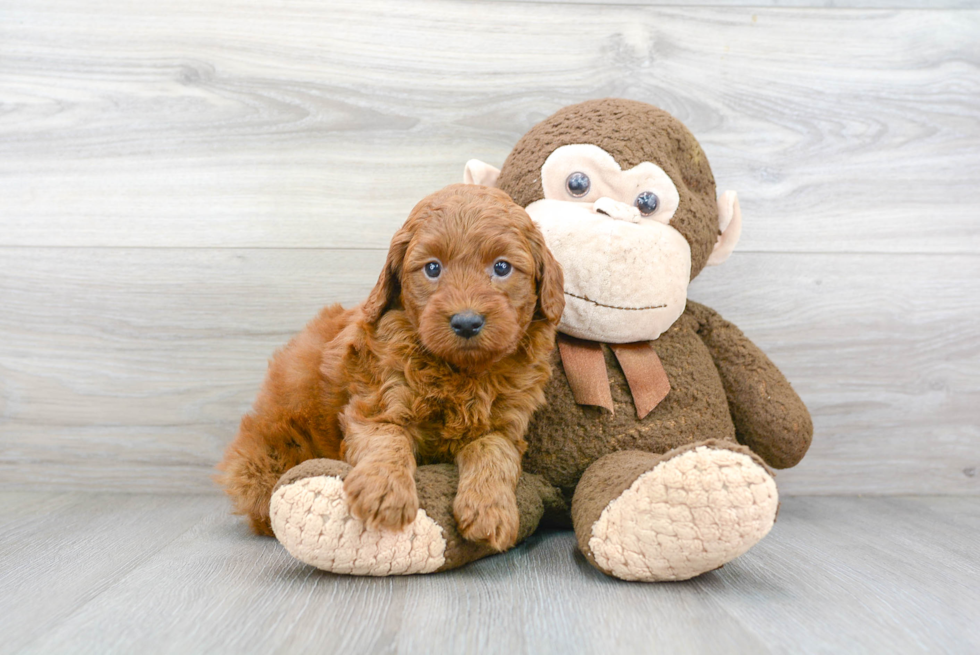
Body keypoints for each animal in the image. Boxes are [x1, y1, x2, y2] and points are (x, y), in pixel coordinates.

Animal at [217, 184, 564, 552]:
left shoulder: (504, 424)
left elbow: (494, 453)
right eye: (432, 268)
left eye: (501, 267)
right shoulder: (377, 403)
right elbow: (388, 438)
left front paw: (491, 509)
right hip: (265, 458)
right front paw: (383, 494)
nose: (467, 322)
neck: (460, 372)